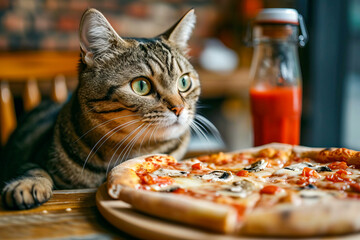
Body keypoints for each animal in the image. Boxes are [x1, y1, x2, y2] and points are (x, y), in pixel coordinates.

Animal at [0, 8, 201, 209]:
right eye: (141, 86)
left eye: (184, 82)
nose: (178, 108)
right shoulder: (29, 158)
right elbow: (33, 169)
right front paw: (27, 185)